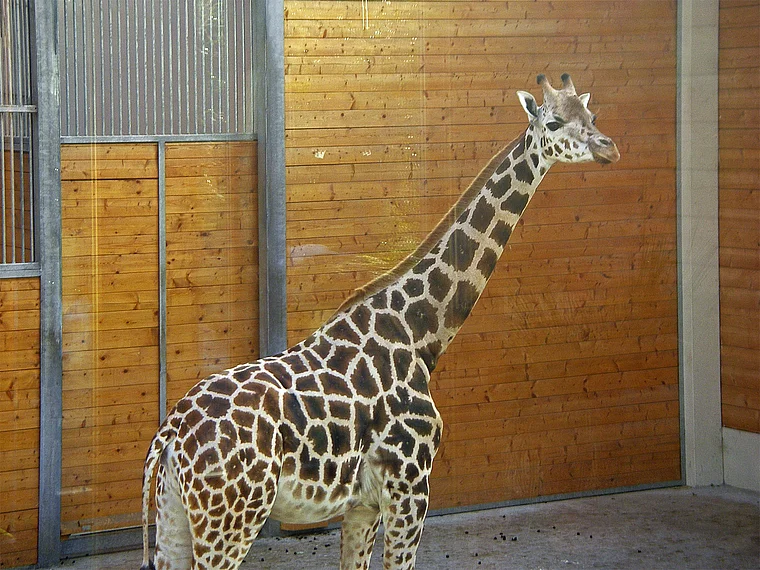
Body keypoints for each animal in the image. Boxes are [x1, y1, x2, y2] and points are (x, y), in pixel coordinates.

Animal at [140, 74, 619, 570]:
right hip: (231, 519)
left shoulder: (363, 505)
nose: (609, 147)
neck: (420, 333)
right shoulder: (410, 485)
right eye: (554, 121)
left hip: (176, 517)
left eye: (593, 115)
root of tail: (170, 436)